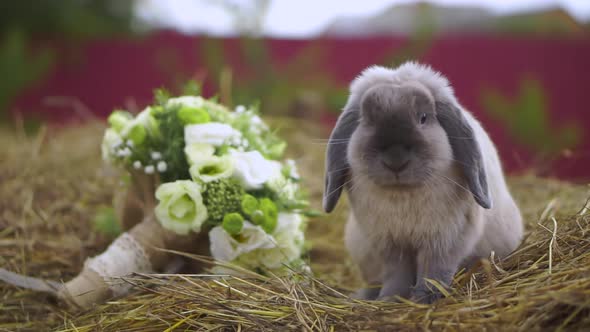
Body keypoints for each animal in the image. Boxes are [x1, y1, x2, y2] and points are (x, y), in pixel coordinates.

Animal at [326, 61, 524, 302]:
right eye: (368, 121)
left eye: (423, 118)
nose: (396, 160)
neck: (402, 192)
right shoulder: (389, 242)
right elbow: (397, 272)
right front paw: (390, 298)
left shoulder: (445, 239)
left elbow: (434, 270)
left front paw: (425, 298)